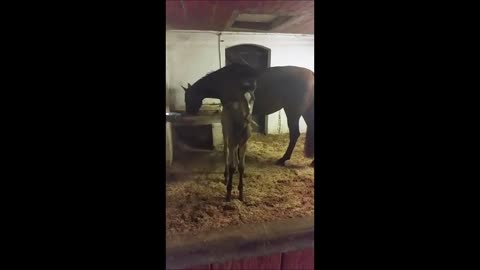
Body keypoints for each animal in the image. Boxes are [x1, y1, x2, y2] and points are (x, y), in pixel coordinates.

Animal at [182, 64, 314, 168]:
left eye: (187, 97)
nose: (189, 112)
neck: (225, 80)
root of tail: (311, 74)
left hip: (293, 111)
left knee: (294, 134)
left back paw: (283, 159)